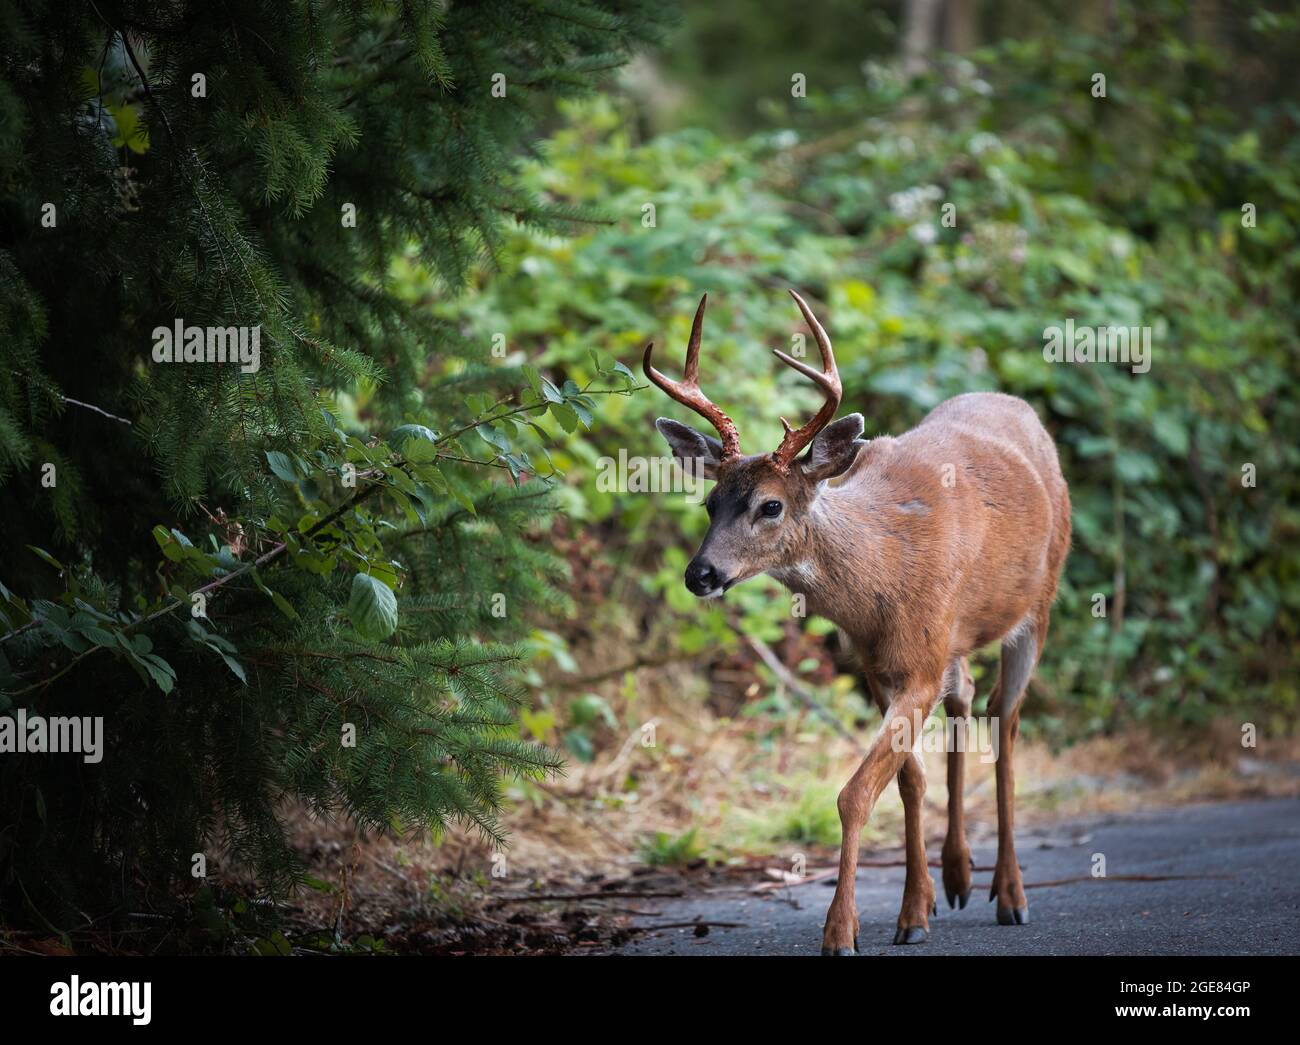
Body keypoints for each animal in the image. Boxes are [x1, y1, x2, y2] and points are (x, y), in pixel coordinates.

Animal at [644, 289, 1071, 951]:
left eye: (771, 506)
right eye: (710, 502)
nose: (700, 574)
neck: (884, 575)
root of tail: (1017, 406)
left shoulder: (919, 667)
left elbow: (854, 795)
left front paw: (841, 930)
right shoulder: (878, 668)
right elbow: (907, 780)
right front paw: (915, 910)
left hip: (1038, 607)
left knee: (1005, 723)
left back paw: (1011, 894)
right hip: (956, 643)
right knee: (968, 699)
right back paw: (958, 875)